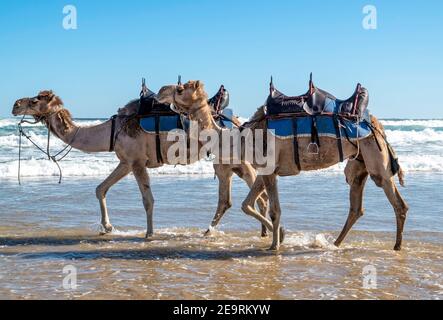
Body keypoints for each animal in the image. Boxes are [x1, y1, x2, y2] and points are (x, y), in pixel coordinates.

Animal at [12, 89, 268, 239]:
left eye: (34, 100)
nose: (15, 104)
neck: (112, 131)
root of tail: (239, 122)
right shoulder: (125, 162)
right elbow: (100, 189)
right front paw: (107, 228)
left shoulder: (137, 162)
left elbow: (147, 200)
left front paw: (148, 234)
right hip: (228, 163)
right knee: (242, 197)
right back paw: (256, 232)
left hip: (233, 160)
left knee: (246, 194)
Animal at [158, 79, 412, 250]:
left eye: (180, 89)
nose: (160, 91)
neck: (239, 138)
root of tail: (376, 123)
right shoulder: (264, 170)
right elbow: (247, 205)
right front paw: (280, 235)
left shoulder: (269, 169)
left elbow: (272, 209)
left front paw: (274, 245)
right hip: (359, 164)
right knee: (356, 206)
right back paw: (336, 243)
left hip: (376, 161)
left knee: (398, 203)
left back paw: (397, 246)